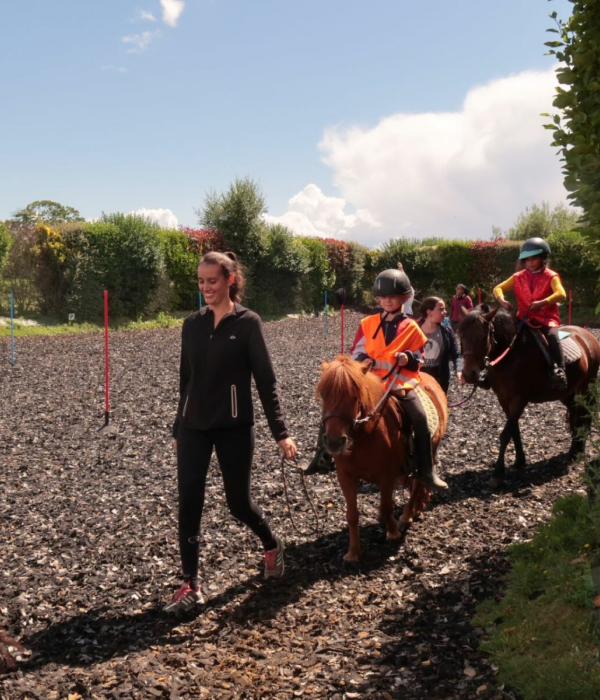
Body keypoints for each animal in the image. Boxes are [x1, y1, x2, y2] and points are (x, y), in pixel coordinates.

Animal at [316, 356, 448, 564]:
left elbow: (386, 507)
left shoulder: (387, 476)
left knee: (419, 482)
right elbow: (352, 515)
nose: (334, 441)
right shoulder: (345, 476)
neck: (367, 434)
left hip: (430, 451)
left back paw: (407, 515)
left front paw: (393, 532)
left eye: (355, 395)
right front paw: (353, 553)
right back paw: (416, 510)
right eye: (323, 394)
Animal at [460, 306, 600, 486]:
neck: (511, 355)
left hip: (585, 388)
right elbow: (514, 431)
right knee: (576, 415)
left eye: (483, 336)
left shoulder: (519, 399)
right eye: (461, 335)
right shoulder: (503, 399)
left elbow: (505, 434)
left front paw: (498, 473)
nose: (468, 374)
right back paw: (574, 450)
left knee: (583, 416)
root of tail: (588, 336)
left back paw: (577, 451)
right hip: (567, 393)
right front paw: (519, 462)